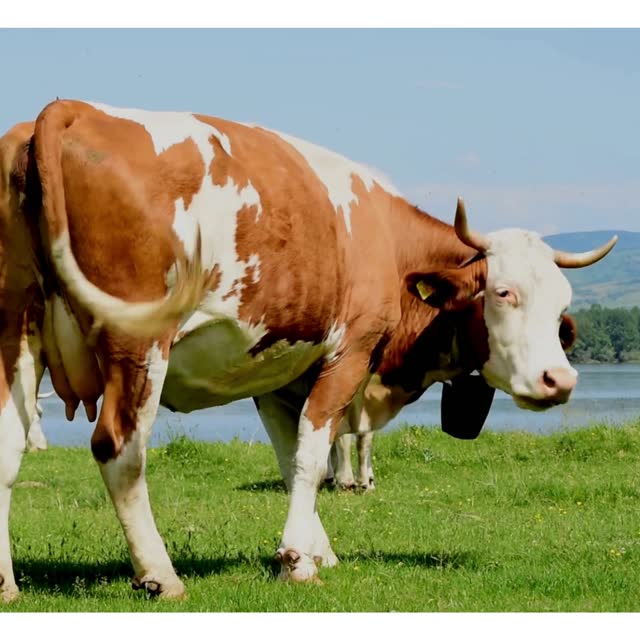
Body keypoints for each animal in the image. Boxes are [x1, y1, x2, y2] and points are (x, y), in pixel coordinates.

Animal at [0, 100, 616, 602]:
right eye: (504, 292)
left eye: (562, 306)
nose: (560, 381)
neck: (389, 244)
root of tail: (70, 110)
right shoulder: (350, 353)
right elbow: (314, 453)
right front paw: (297, 561)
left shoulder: (278, 375)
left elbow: (294, 457)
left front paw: (317, 549)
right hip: (139, 346)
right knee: (120, 450)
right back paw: (160, 574)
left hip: (15, 336)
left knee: (8, 450)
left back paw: (8, 584)